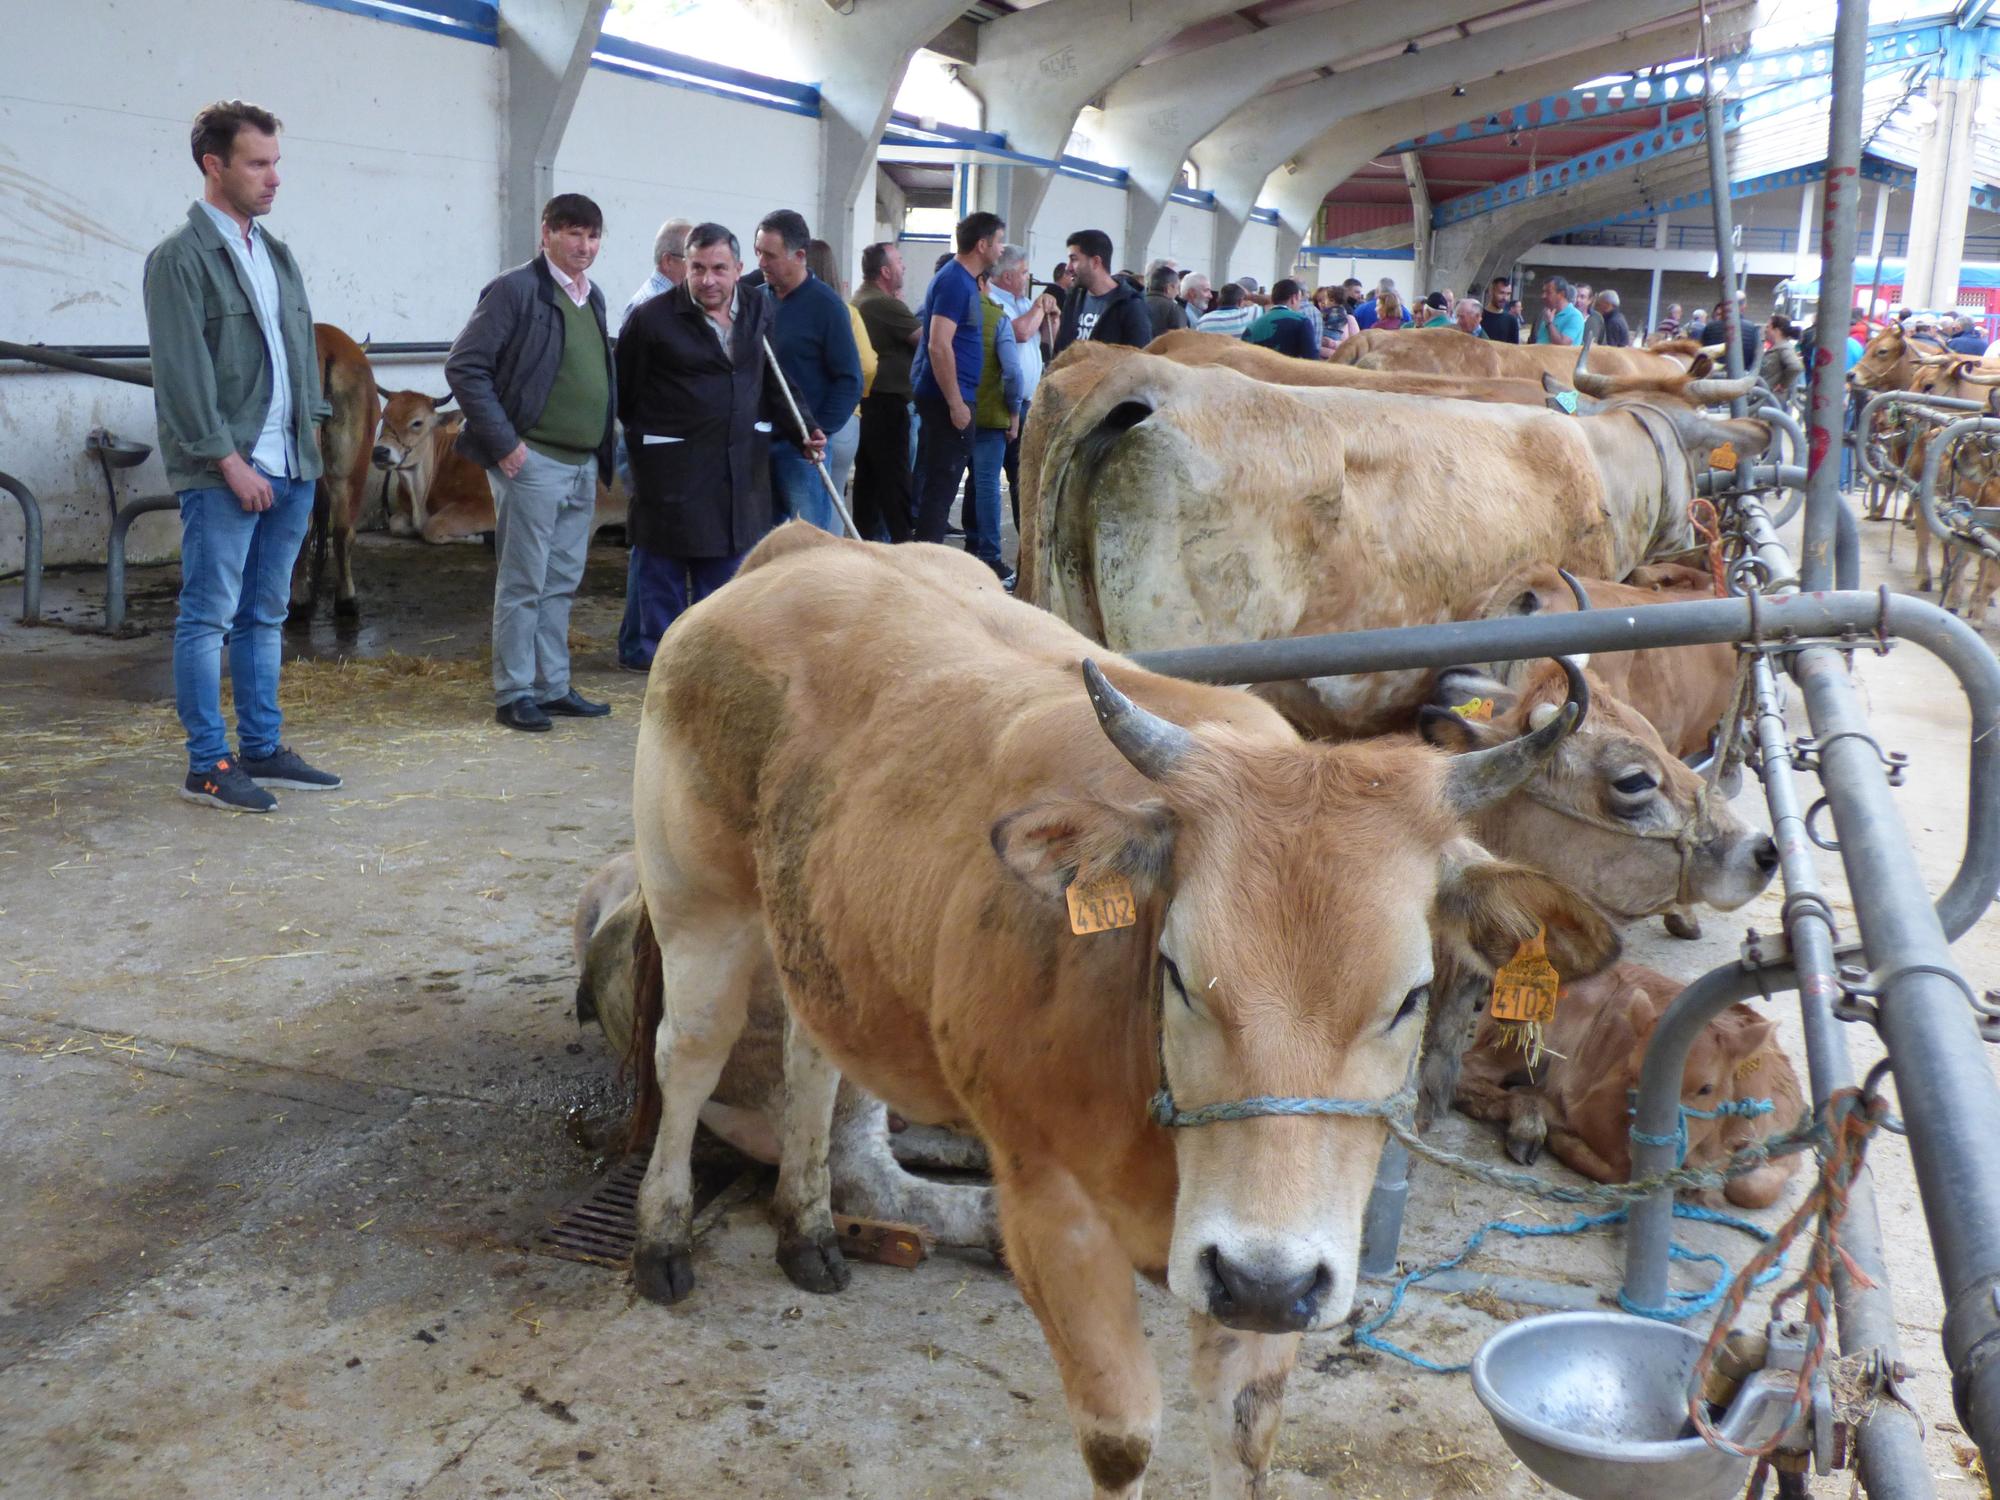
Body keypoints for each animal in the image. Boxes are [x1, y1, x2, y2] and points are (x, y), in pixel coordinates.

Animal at [632, 524, 1616, 1496]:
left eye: (1409, 996)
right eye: (1177, 970)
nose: (1264, 1279)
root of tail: (805, 545)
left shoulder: (1280, 1267)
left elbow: (1245, 1437)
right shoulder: (1050, 1210)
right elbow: (1122, 1437)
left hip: (817, 926)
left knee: (809, 1056)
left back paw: (805, 1230)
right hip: (697, 900)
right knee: (689, 1055)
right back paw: (662, 1240)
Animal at [1448, 964, 1808, 1224]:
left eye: (1706, 1087)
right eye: (1632, 1075)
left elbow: (1752, 1187)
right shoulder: (1592, 1104)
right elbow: (1621, 1169)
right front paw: (1559, 1133)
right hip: (1526, 1042)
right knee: (1464, 1070)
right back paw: (1529, 1124)